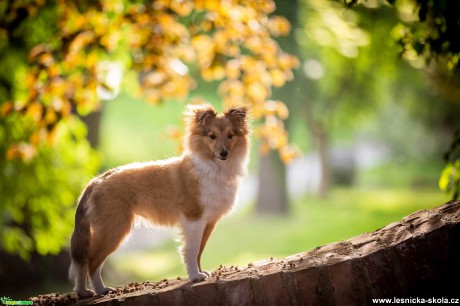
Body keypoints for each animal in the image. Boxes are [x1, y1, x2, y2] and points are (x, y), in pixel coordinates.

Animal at [67, 103, 252, 296]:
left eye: (230, 135)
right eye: (212, 136)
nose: (224, 153)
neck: (213, 168)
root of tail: (96, 181)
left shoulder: (208, 222)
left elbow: (199, 250)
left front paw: (201, 273)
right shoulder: (193, 219)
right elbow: (192, 250)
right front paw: (195, 276)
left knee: (84, 259)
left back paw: (83, 292)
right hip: (114, 228)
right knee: (90, 261)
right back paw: (99, 289)